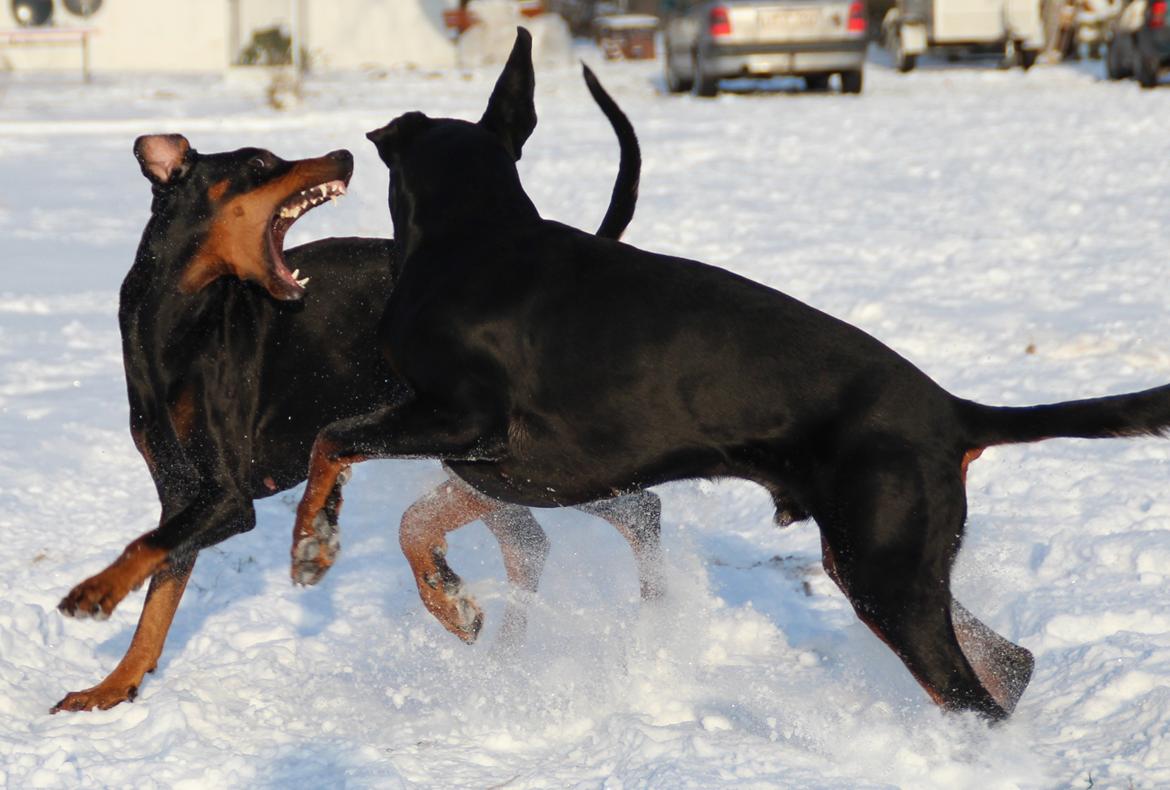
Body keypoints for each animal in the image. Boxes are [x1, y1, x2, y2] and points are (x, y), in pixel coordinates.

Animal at [52, 67, 659, 711]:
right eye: (260, 162)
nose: (343, 154)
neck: (173, 326)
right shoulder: (179, 487)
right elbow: (160, 590)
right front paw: (112, 686)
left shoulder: (226, 497)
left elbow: (146, 547)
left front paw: (94, 593)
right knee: (532, 542)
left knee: (637, 509)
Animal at [294, 29, 1170, 720]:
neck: (474, 235)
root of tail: (956, 413)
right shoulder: (506, 468)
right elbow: (414, 520)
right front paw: (453, 603)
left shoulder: (467, 422)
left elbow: (330, 438)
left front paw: (312, 544)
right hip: (888, 560)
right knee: (1009, 664)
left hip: (883, 569)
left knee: (971, 695)